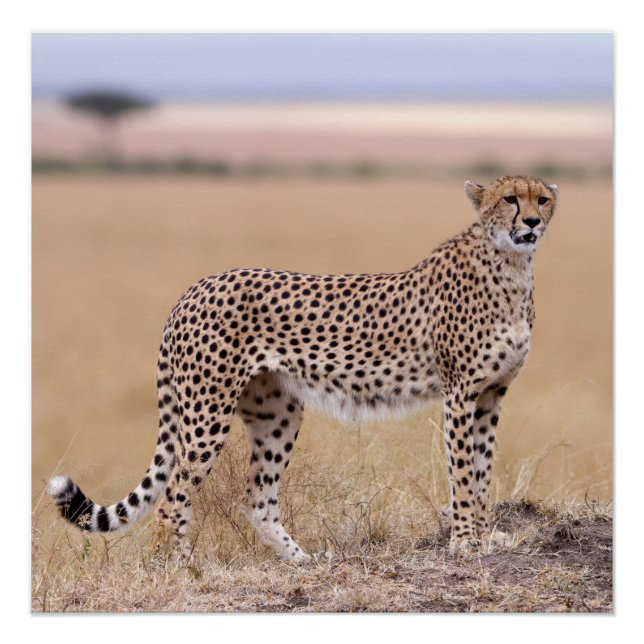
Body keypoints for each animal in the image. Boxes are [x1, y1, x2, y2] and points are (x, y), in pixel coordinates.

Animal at [48, 175, 557, 559]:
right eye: (510, 199)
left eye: (543, 199)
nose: (532, 222)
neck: (512, 266)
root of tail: (195, 288)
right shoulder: (460, 394)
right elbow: (464, 472)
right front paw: (466, 542)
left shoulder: (491, 395)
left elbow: (483, 469)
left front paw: (487, 535)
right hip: (207, 412)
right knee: (173, 496)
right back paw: (176, 567)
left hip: (277, 411)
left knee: (258, 499)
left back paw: (301, 561)